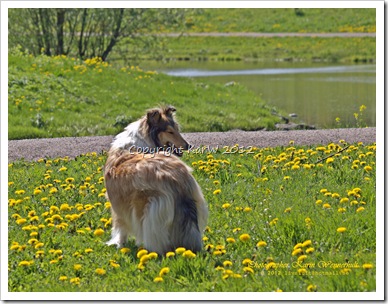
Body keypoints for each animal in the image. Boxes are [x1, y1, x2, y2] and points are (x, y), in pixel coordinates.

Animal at [102, 105, 206, 255]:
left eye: (177, 129)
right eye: (170, 131)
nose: (188, 146)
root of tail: (176, 178)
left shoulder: (119, 206)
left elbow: (121, 228)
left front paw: (119, 244)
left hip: (149, 209)